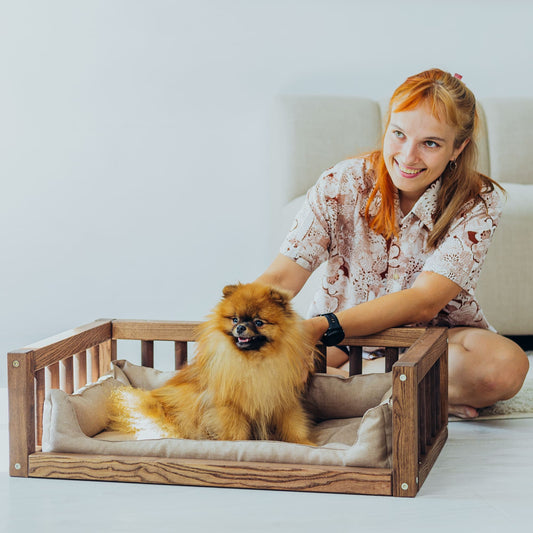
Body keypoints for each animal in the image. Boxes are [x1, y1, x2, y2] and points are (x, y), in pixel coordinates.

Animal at [107, 282, 316, 444]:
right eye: (234, 319)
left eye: (258, 322)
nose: (240, 327)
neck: (253, 363)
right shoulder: (229, 405)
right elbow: (236, 430)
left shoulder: (282, 399)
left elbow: (293, 424)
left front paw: (305, 443)